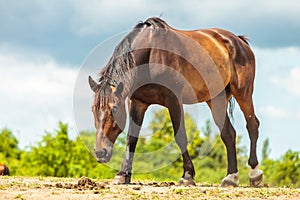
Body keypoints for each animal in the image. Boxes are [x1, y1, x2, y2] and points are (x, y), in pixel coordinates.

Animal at [88, 17, 262, 188]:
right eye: (93, 111)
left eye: (115, 109)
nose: (100, 152)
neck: (150, 53)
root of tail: (238, 41)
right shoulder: (138, 102)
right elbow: (132, 138)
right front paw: (122, 174)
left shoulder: (174, 100)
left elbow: (181, 136)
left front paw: (187, 176)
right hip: (216, 99)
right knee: (228, 133)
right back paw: (230, 177)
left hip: (243, 93)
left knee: (252, 125)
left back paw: (254, 173)